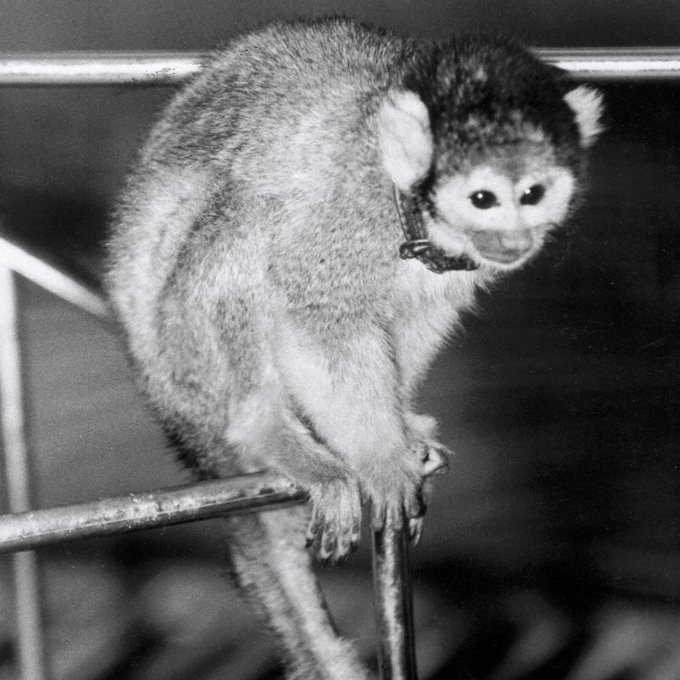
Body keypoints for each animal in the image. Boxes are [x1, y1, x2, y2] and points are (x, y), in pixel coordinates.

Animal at [105, 16, 603, 680]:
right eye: (484, 199)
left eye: (534, 193)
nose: (514, 240)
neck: (414, 212)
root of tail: (176, 416)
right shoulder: (348, 212)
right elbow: (317, 319)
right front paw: (381, 456)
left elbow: (414, 318)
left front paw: (401, 429)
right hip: (183, 359)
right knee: (246, 221)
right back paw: (264, 429)